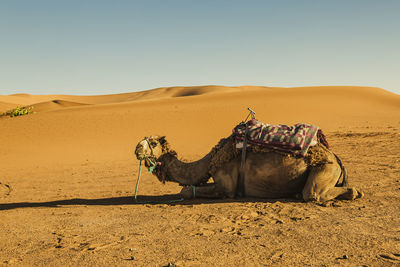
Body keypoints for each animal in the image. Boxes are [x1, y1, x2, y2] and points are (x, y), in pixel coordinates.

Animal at [134, 135, 362, 202]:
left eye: (152, 143)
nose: (136, 149)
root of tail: (336, 158)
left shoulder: (226, 185)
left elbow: (185, 190)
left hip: (325, 168)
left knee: (314, 193)